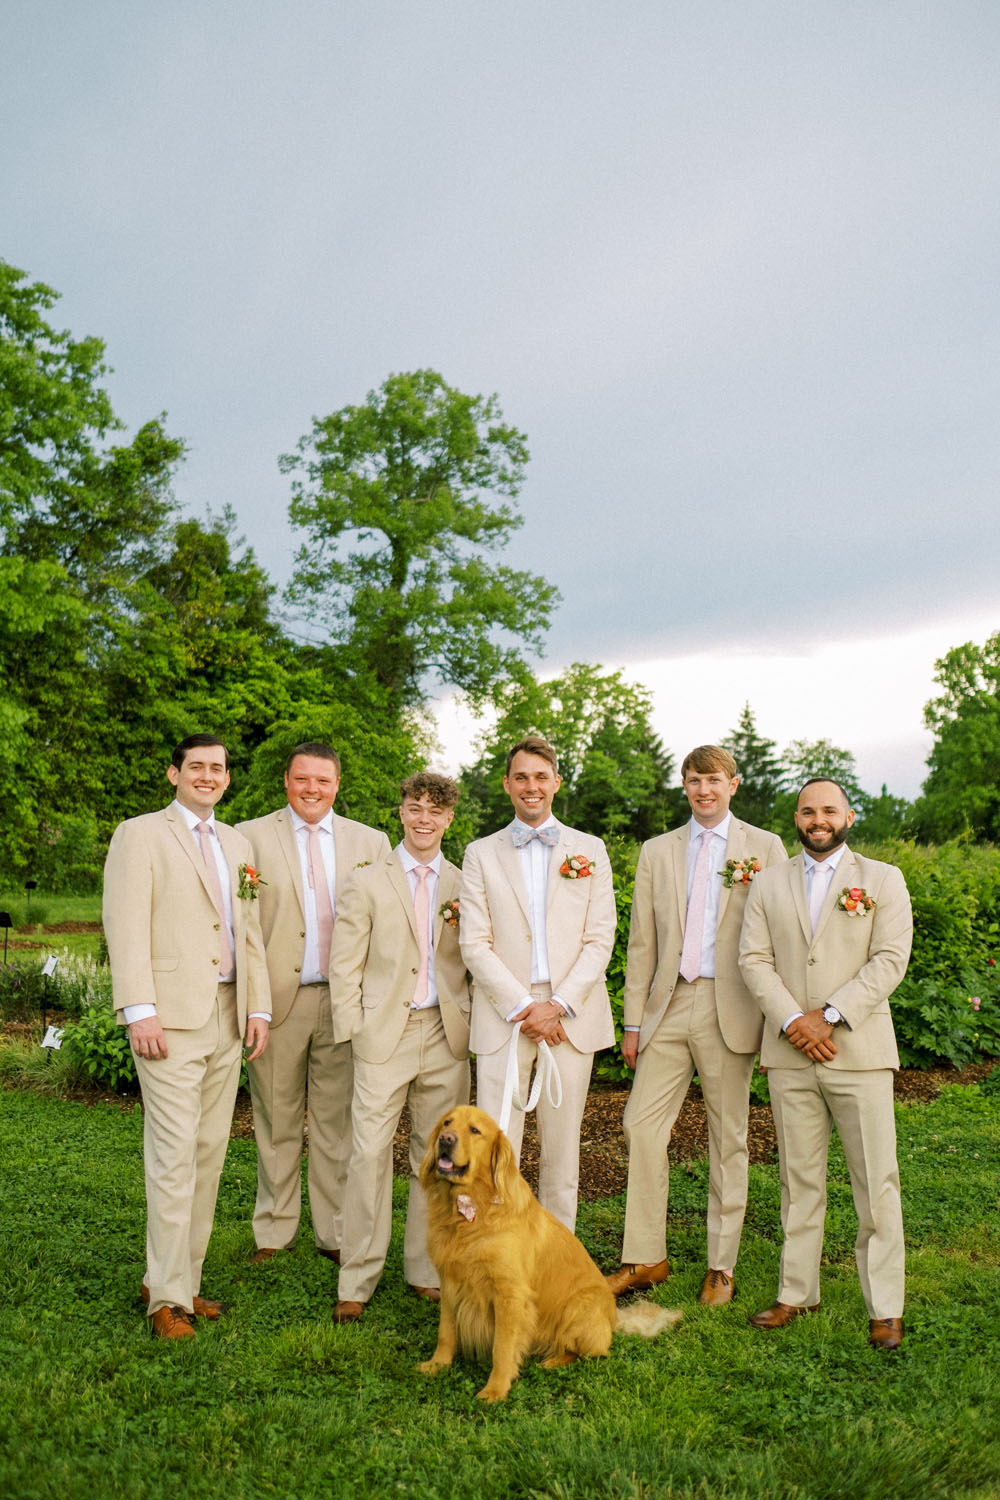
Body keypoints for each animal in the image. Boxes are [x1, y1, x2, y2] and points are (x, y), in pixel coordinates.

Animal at [413, 1104, 680, 1404]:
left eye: (474, 1130)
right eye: (447, 1122)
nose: (445, 1139)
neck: (470, 1215)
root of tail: (614, 1318)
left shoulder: (510, 1296)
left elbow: (502, 1348)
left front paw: (495, 1389)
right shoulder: (450, 1283)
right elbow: (446, 1332)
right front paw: (437, 1364)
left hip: (577, 1308)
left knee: (592, 1353)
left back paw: (553, 1362)